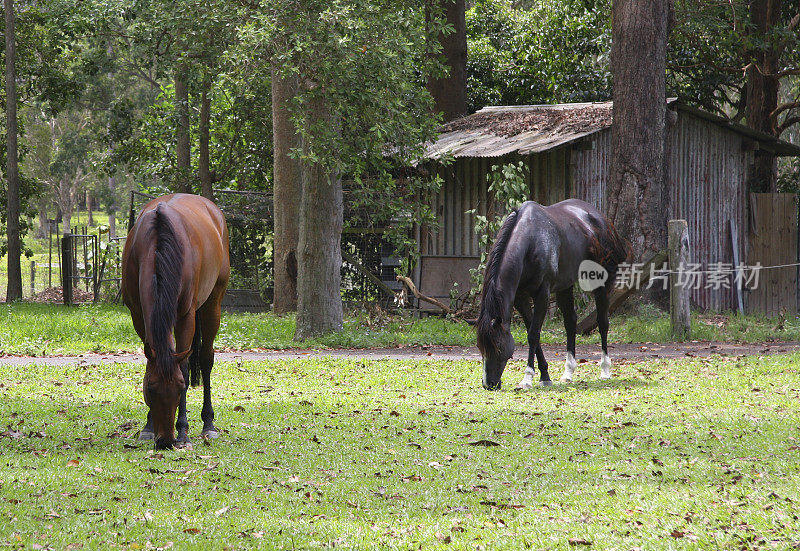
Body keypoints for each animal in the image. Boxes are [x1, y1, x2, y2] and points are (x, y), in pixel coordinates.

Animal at [122, 193, 230, 448]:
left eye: (180, 386)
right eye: (150, 388)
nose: (165, 441)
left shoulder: (185, 316)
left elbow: (184, 366)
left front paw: (183, 430)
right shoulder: (138, 315)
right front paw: (148, 427)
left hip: (212, 304)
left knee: (206, 359)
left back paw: (208, 424)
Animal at [476, 201, 632, 390]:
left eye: (498, 346)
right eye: (480, 347)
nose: (488, 384)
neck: (530, 242)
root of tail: (599, 218)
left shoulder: (542, 294)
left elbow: (533, 334)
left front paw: (527, 378)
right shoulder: (520, 298)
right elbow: (533, 332)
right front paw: (544, 375)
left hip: (599, 282)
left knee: (603, 323)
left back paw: (605, 370)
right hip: (565, 285)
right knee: (570, 323)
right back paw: (568, 373)